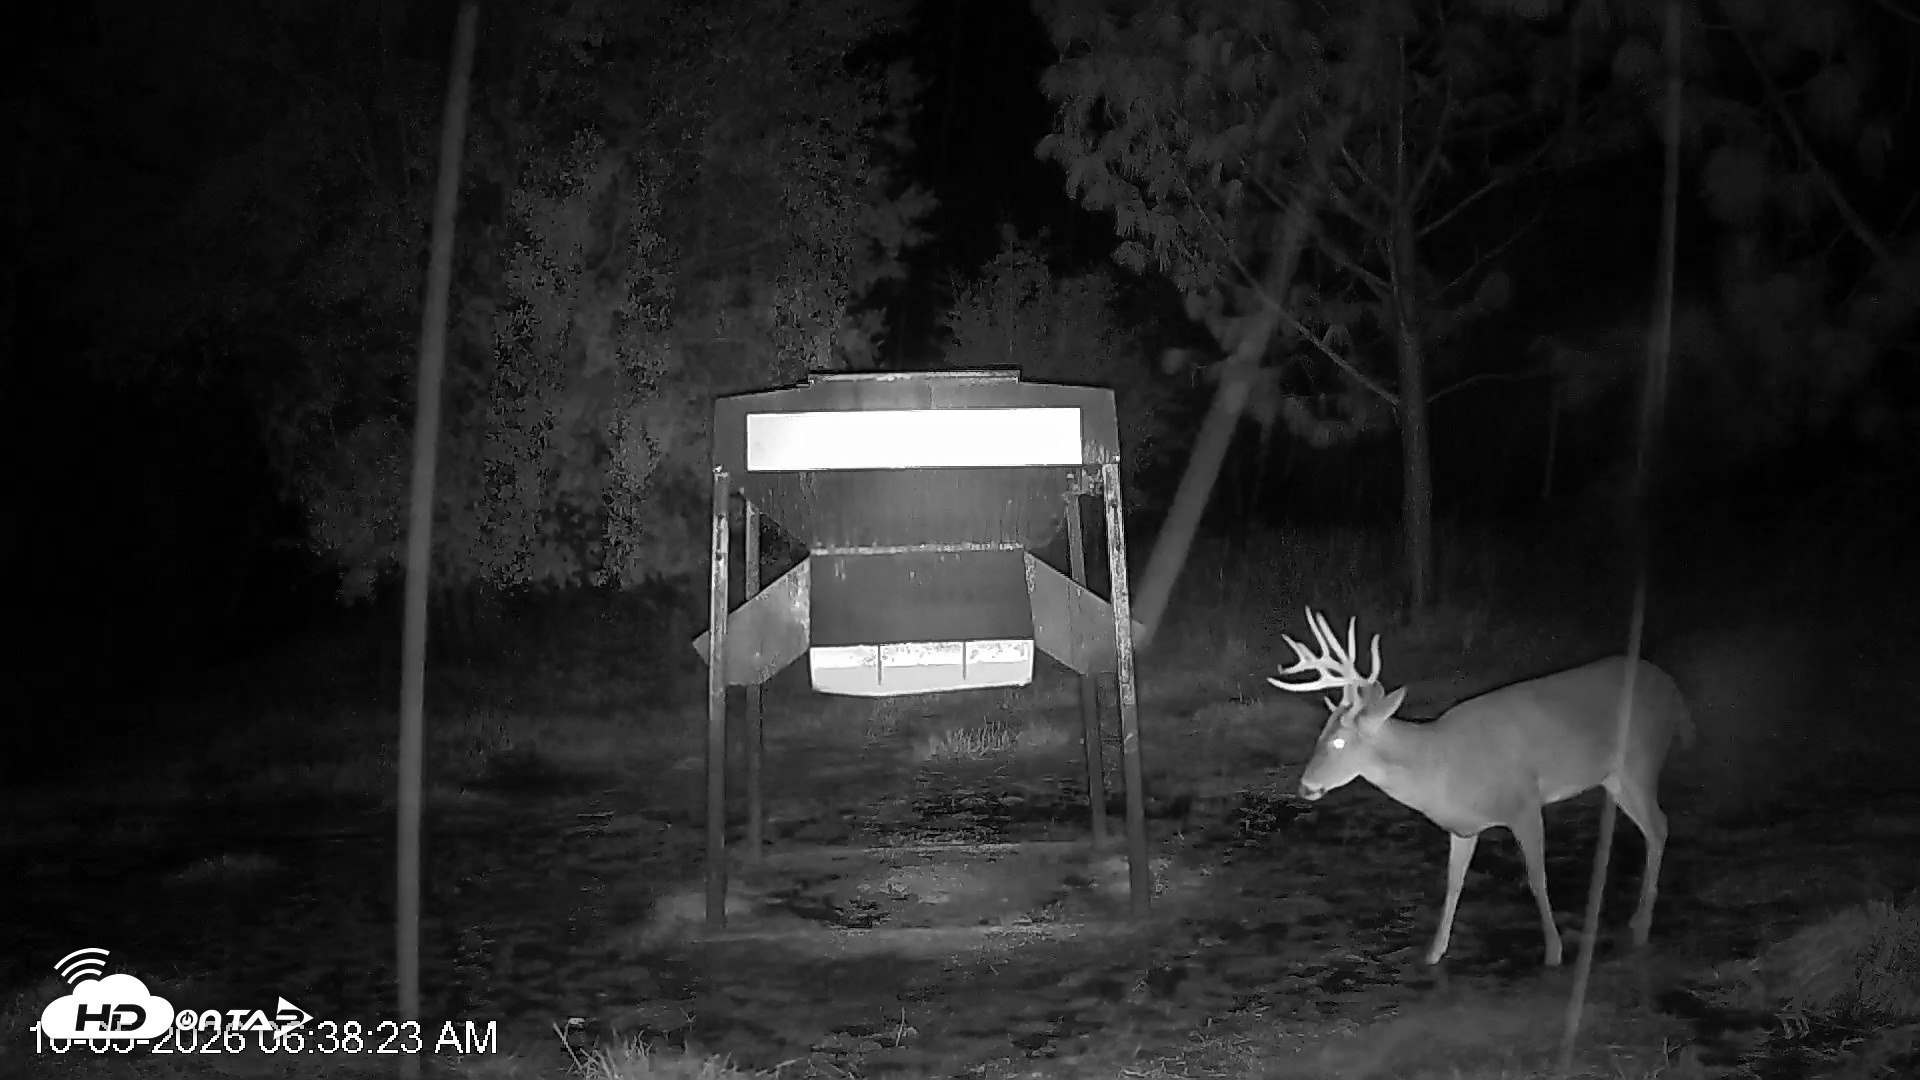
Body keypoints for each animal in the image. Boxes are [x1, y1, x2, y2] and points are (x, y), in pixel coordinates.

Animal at [1267, 608, 1694, 968]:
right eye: (1321, 734)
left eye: (1339, 742)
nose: (1305, 786)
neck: (1440, 765)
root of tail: (1674, 688)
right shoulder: (1463, 827)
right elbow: (1453, 883)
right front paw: (1434, 953)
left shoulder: (1525, 802)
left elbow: (1537, 878)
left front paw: (1554, 952)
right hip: (1614, 778)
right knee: (1654, 827)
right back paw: (1636, 919)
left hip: (1640, 761)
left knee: (1660, 826)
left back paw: (1642, 925)